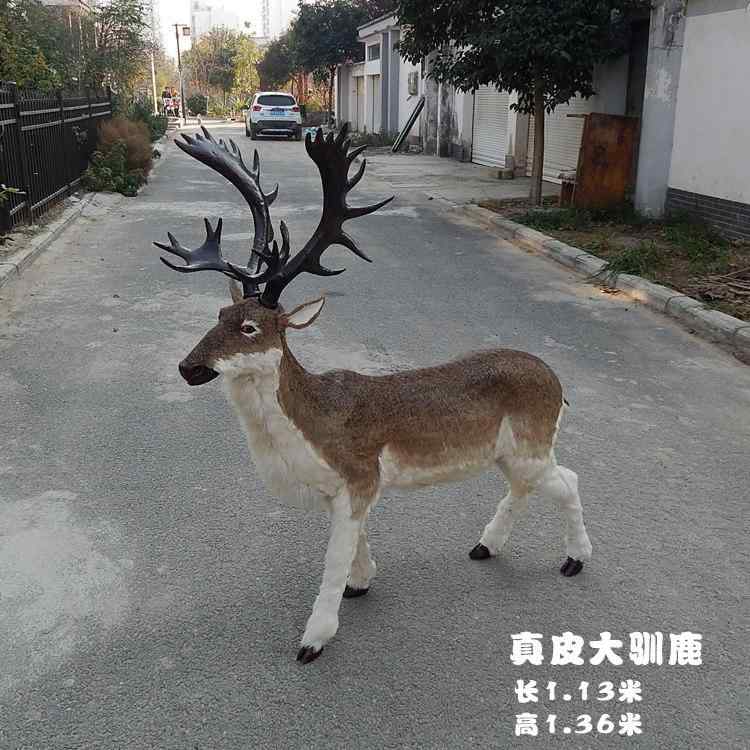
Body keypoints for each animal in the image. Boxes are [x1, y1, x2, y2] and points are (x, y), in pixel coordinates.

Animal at [155, 124, 593, 664]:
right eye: (218, 315)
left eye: (250, 327)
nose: (188, 367)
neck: (310, 429)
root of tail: (557, 382)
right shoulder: (341, 488)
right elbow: (355, 544)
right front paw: (361, 582)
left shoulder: (359, 475)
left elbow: (333, 558)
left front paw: (315, 638)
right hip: (509, 451)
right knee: (529, 484)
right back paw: (486, 546)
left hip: (533, 440)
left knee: (568, 479)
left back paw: (574, 559)